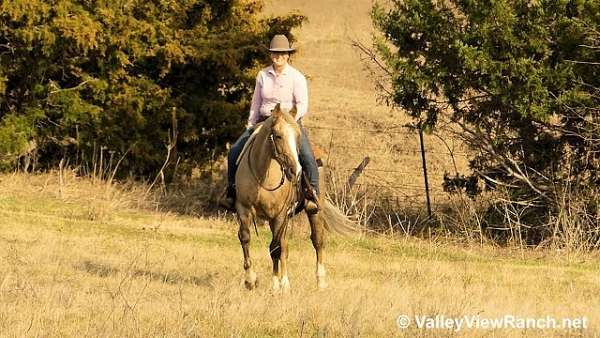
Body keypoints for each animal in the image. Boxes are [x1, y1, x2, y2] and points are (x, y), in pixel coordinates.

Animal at [234, 103, 354, 294]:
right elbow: (246, 238)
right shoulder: (243, 208)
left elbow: (276, 249)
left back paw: (320, 281)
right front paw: (250, 280)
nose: (295, 170)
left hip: (313, 211)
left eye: (298, 136)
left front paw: (277, 285)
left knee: (317, 241)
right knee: (284, 245)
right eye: (278, 136)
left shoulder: (280, 214)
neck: (264, 176)